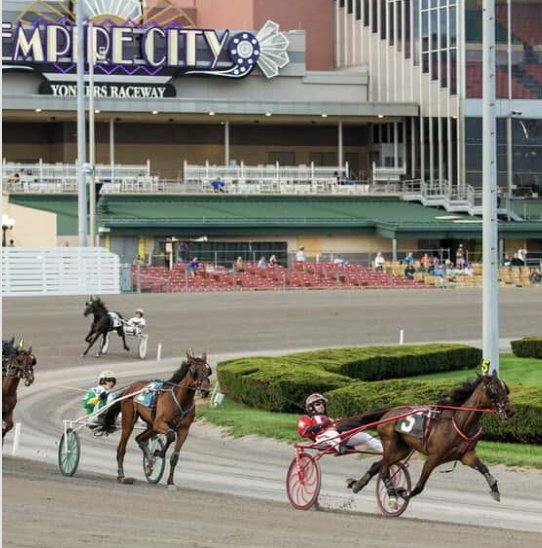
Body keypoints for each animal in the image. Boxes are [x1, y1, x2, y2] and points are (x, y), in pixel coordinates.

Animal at [94, 354, 214, 486]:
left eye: (208, 370)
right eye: (194, 370)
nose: (205, 390)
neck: (181, 401)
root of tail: (129, 389)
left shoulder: (183, 430)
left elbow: (175, 456)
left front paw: (170, 481)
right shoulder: (160, 423)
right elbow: (171, 436)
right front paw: (159, 453)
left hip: (151, 426)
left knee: (139, 438)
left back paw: (150, 461)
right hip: (129, 421)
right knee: (121, 448)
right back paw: (122, 475)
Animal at [346, 372, 516, 510]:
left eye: (506, 389)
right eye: (493, 391)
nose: (510, 411)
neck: (459, 422)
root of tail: (389, 411)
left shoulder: (466, 455)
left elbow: (484, 469)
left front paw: (495, 490)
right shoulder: (434, 457)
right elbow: (420, 486)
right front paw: (402, 492)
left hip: (402, 449)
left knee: (377, 465)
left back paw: (357, 485)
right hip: (390, 442)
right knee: (384, 470)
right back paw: (392, 497)